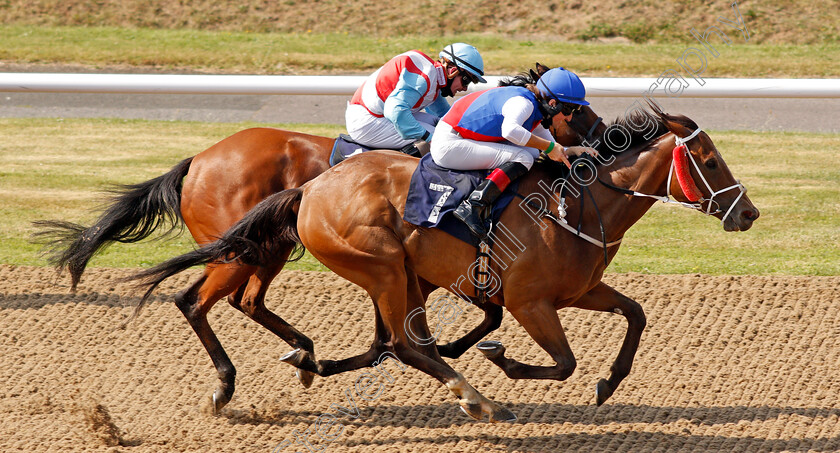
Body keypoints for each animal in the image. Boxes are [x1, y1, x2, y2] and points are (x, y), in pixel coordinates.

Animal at [126, 104, 760, 422]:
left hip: (374, 269)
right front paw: (501, 360)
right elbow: (560, 361)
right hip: (373, 265)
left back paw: (309, 359)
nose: (748, 212)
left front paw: (609, 383)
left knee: (383, 337)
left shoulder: (575, 291)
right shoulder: (530, 301)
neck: (576, 202)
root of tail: (311, 190)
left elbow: (635, 314)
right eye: (708, 159)